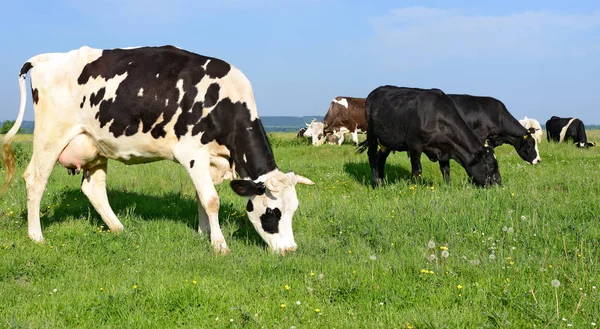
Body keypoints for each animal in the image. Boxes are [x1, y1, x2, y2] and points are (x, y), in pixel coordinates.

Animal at [1, 44, 314, 252]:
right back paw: (36, 236)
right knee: (35, 179)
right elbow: (212, 200)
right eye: (272, 213)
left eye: (294, 210)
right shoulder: (193, 153)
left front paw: (202, 233)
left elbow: (201, 197)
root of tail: (44, 58)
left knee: (93, 189)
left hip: (94, 144)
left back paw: (119, 229)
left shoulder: (208, 159)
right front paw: (219, 244)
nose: (290, 250)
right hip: (50, 135)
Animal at [356, 84, 502, 187]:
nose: (499, 182)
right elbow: (417, 170)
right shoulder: (414, 145)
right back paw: (376, 183)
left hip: (387, 140)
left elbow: (446, 170)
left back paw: (383, 182)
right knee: (372, 156)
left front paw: (448, 187)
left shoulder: (445, 149)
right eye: (490, 166)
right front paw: (415, 189)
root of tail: (376, 91)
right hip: (371, 134)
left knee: (381, 158)